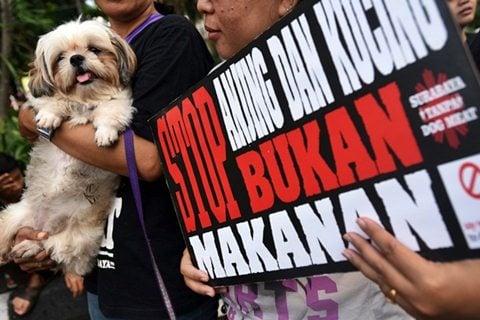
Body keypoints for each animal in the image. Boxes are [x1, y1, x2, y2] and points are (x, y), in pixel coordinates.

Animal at [0, 18, 137, 276]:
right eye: (61, 57)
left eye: (94, 49)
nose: (76, 58)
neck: (83, 99)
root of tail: (43, 223)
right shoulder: (42, 99)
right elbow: (52, 100)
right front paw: (49, 117)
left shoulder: (119, 101)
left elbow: (110, 110)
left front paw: (105, 133)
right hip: (12, 216)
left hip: (75, 240)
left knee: (47, 245)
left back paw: (27, 247)